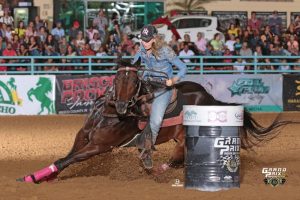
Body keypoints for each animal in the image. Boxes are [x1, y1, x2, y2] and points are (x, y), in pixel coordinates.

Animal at [18, 59, 288, 183]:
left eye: (135, 81)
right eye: (117, 80)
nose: (123, 106)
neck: (109, 115)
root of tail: (210, 98)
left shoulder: (99, 147)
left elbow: (66, 160)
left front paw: (32, 178)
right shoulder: (82, 137)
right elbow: (64, 158)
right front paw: (39, 176)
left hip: (192, 135)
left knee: (179, 157)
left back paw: (155, 169)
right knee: (180, 156)